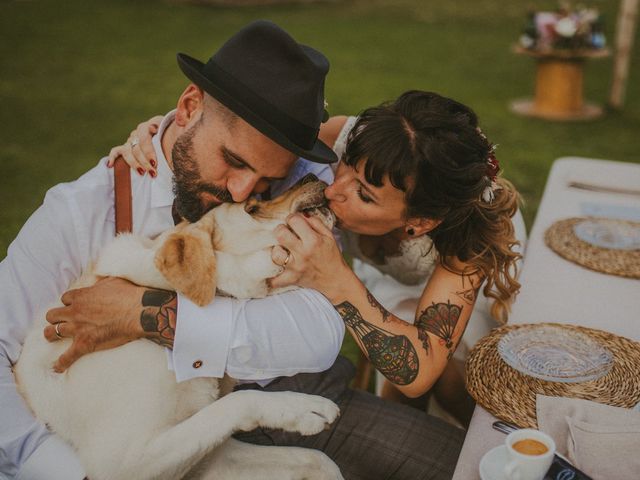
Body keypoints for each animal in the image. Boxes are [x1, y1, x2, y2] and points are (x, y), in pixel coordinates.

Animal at [13, 176, 340, 480]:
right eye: (253, 207)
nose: (313, 177)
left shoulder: (211, 459)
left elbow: (320, 460)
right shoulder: (121, 461)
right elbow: (239, 401)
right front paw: (302, 409)